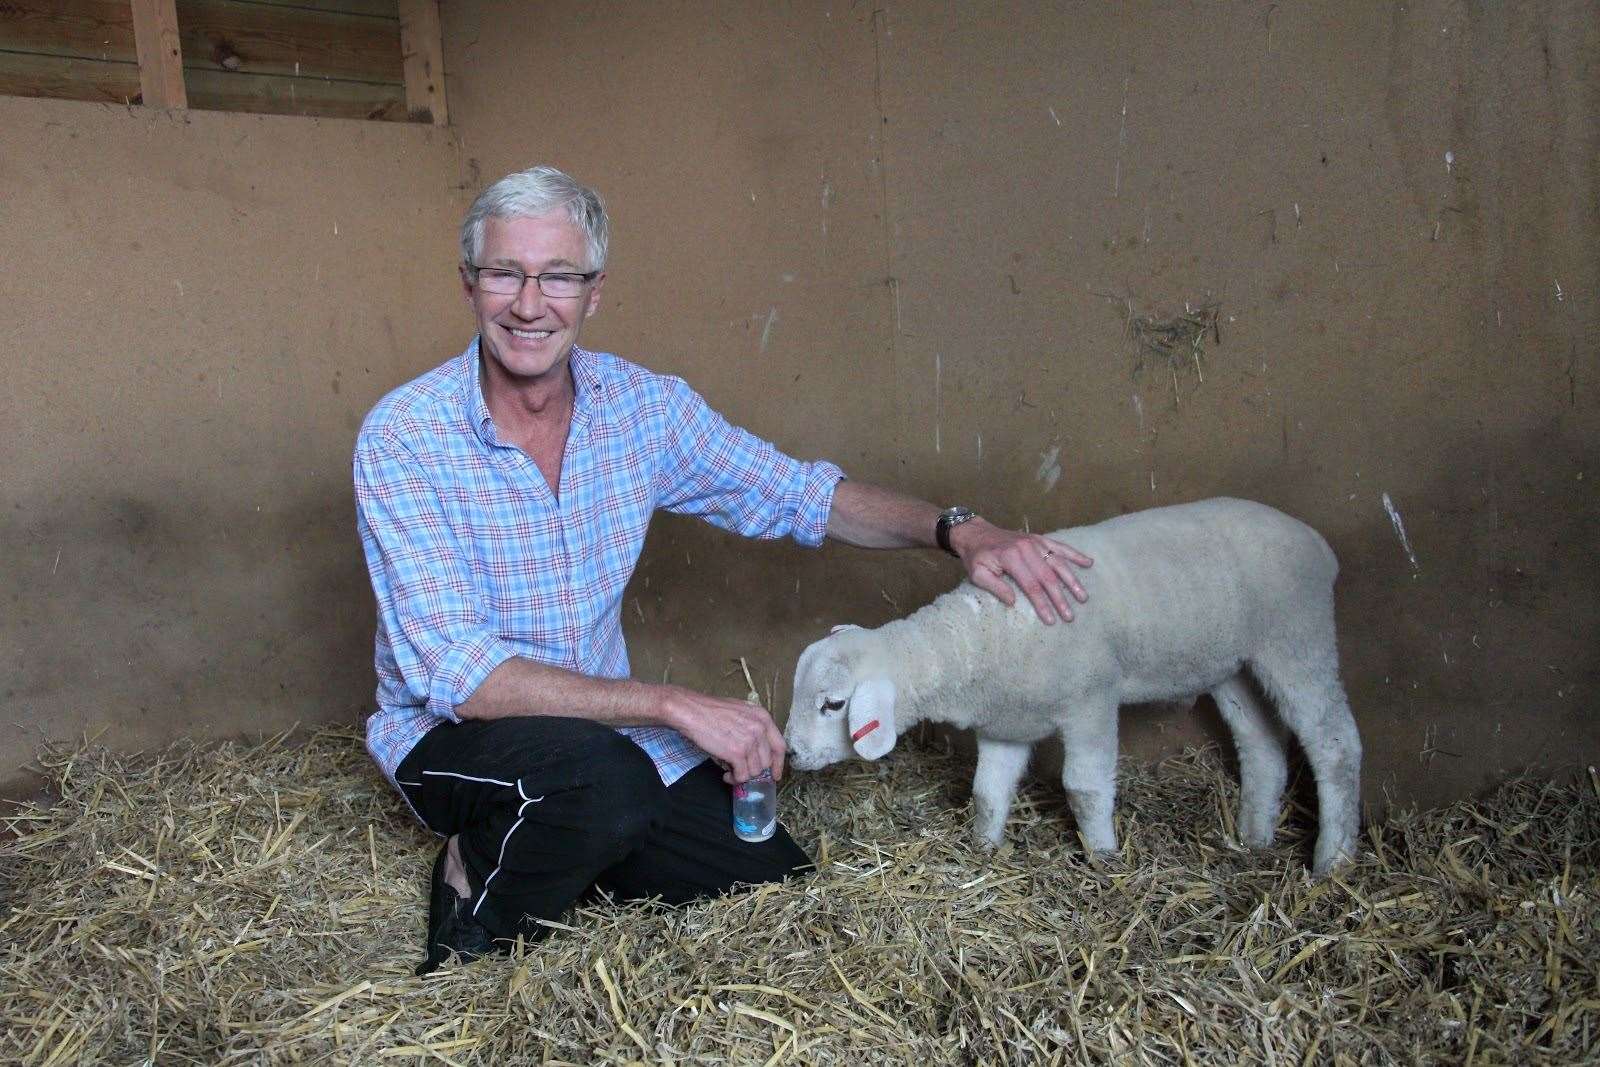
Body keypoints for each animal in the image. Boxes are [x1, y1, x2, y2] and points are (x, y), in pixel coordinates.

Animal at [787, 495, 1363, 870]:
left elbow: (1084, 788)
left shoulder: (1090, 702)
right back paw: (1254, 839)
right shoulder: (1006, 724)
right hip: (1232, 665)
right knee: (1262, 746)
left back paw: (1332, 861)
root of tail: (1317, 542)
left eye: (833, 705)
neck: (979, 636)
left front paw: (1104, 858)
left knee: (1335, 744)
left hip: (1297, 638)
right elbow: (986, 792)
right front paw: (983, 851)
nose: (789, 753)